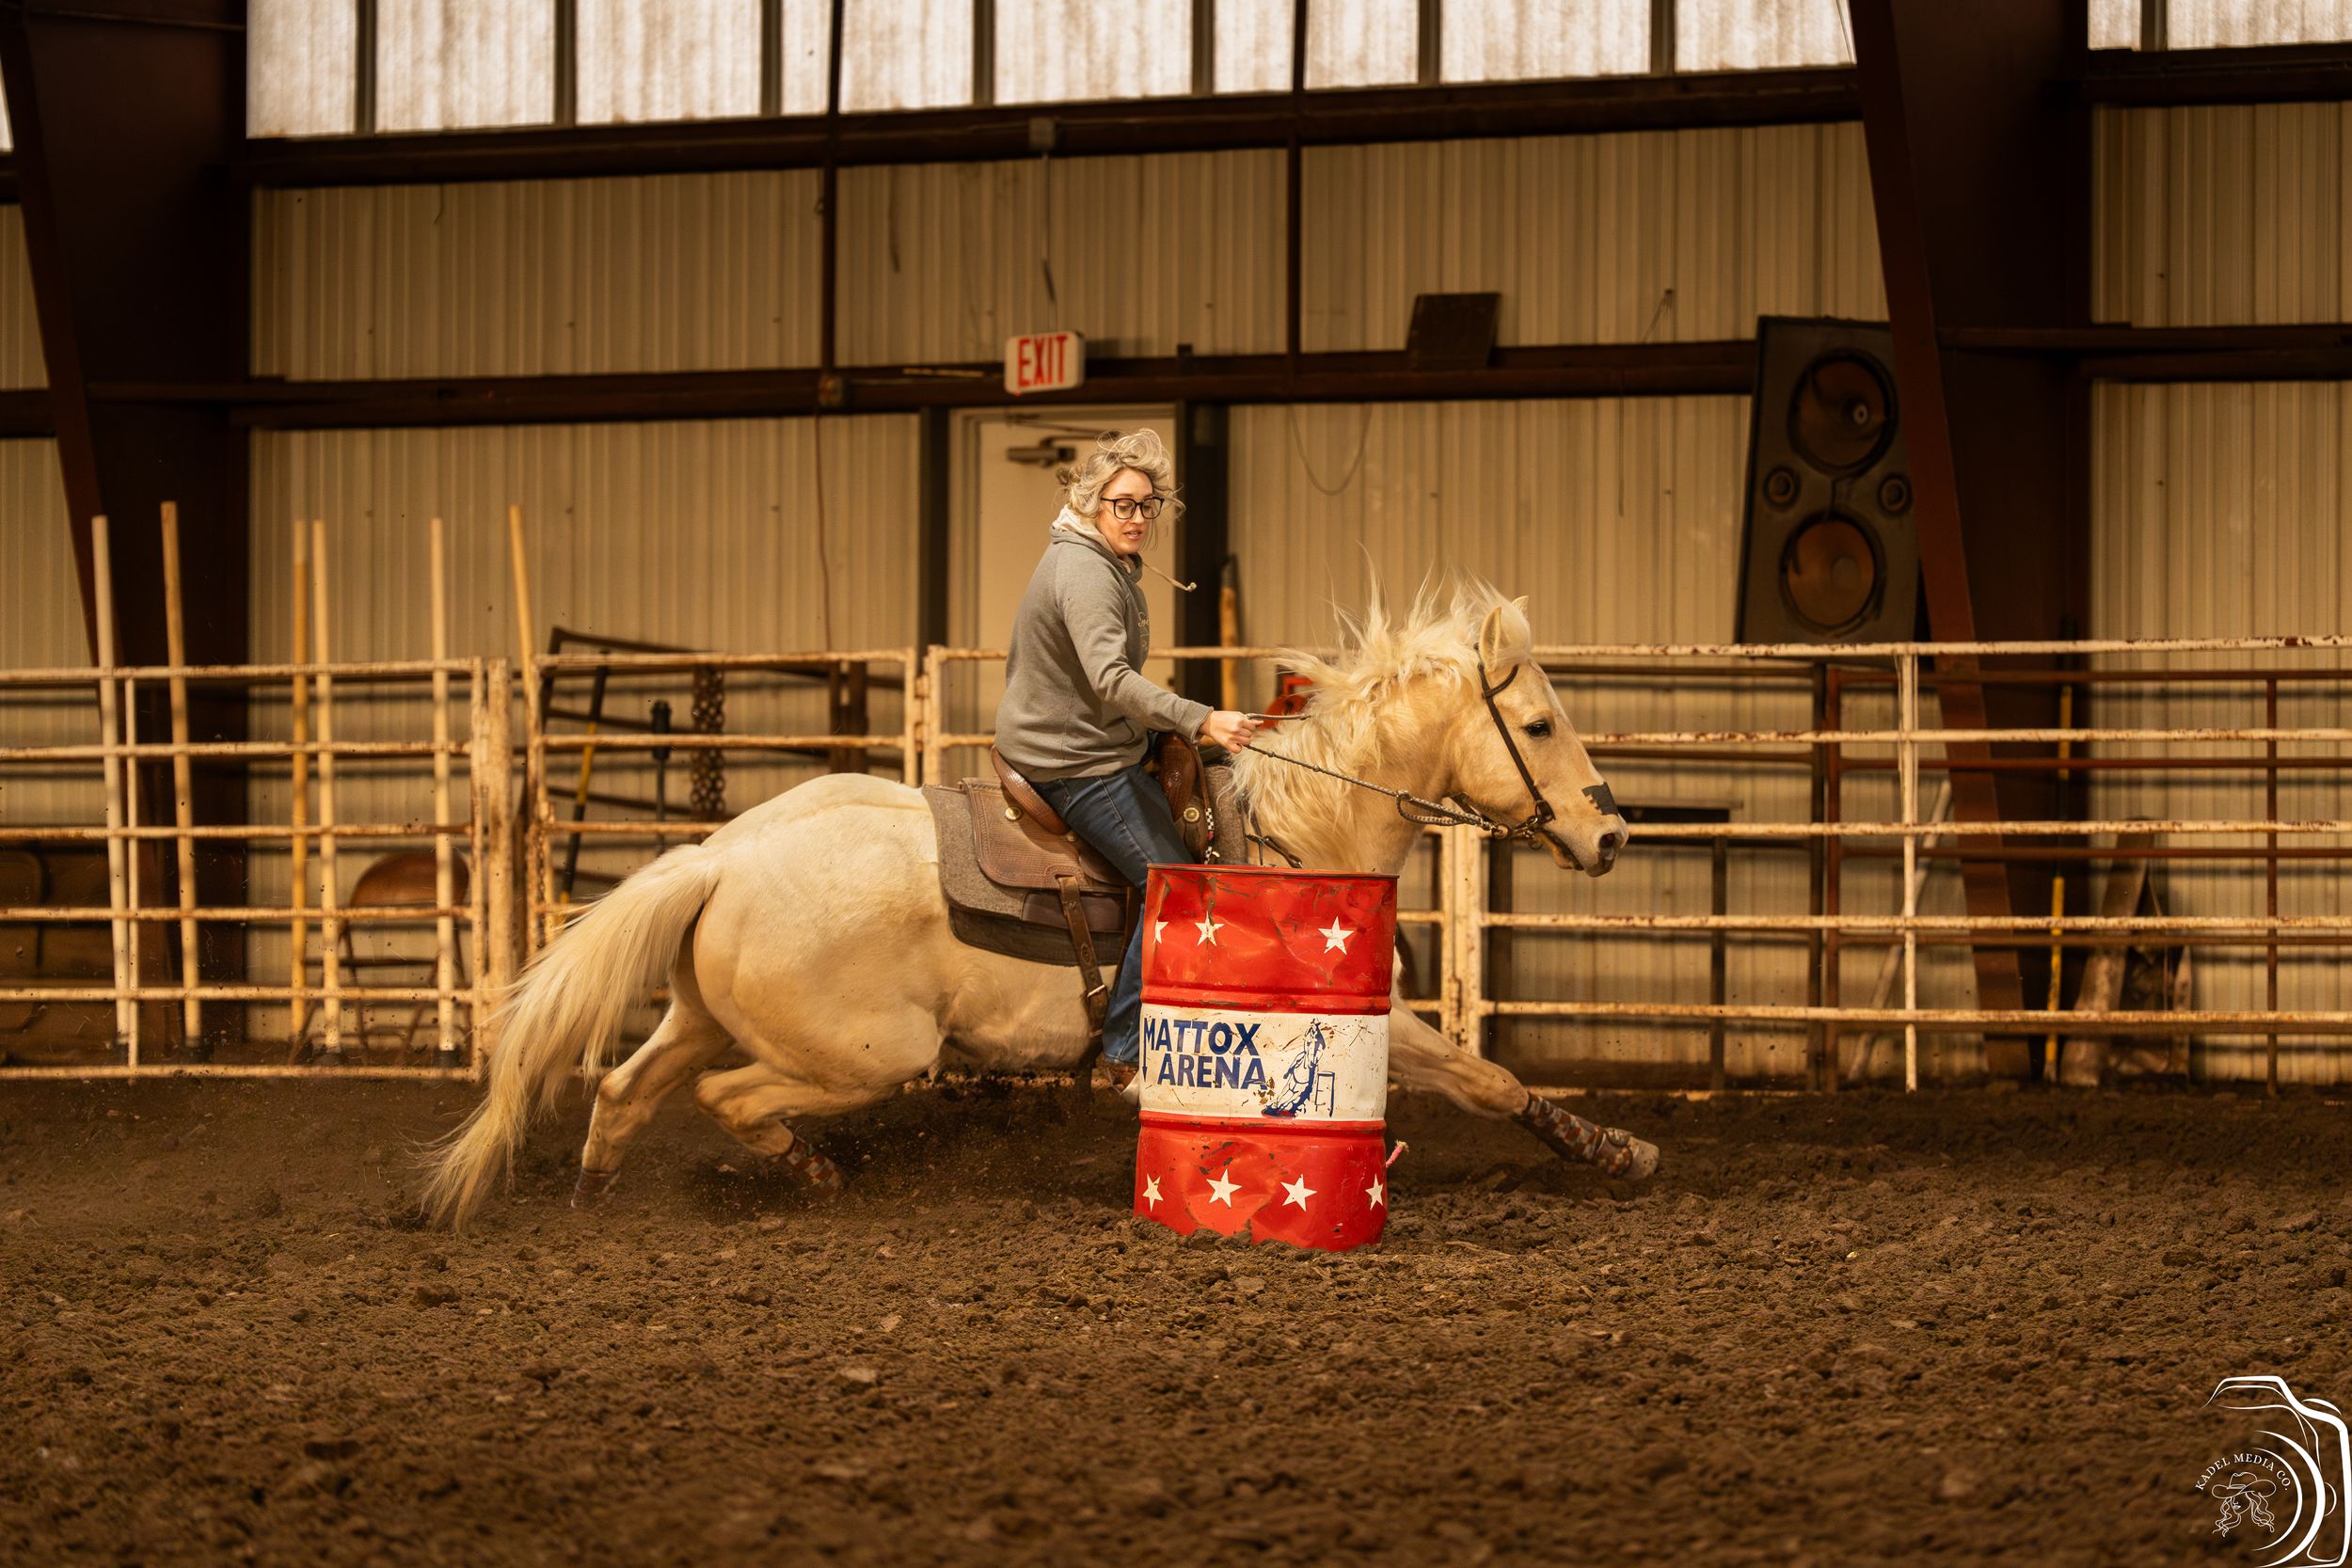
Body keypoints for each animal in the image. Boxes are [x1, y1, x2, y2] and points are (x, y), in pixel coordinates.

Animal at [422, 582, 1658, 1229]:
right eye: (1537, 724)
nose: (1608, 836)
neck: (1301, 827)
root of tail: (722, 859)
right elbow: (1481, 1075)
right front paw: (1618, 1150)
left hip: (698, 1013)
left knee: (624, 1089)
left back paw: (596, 1201)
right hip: (862, 1053)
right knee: (727, 1098)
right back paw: (810, 1172)